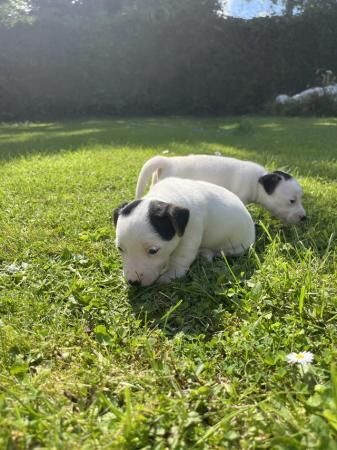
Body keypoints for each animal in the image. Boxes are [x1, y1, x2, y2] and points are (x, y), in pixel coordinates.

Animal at [113, 178, 255, 286]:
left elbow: (180, 257)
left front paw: (170, 275)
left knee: (222, 252)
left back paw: (206, 254)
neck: (165, 195)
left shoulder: (191, 233)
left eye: (153, 251)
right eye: (120, 248)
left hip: (237, 248)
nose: (133, 282)